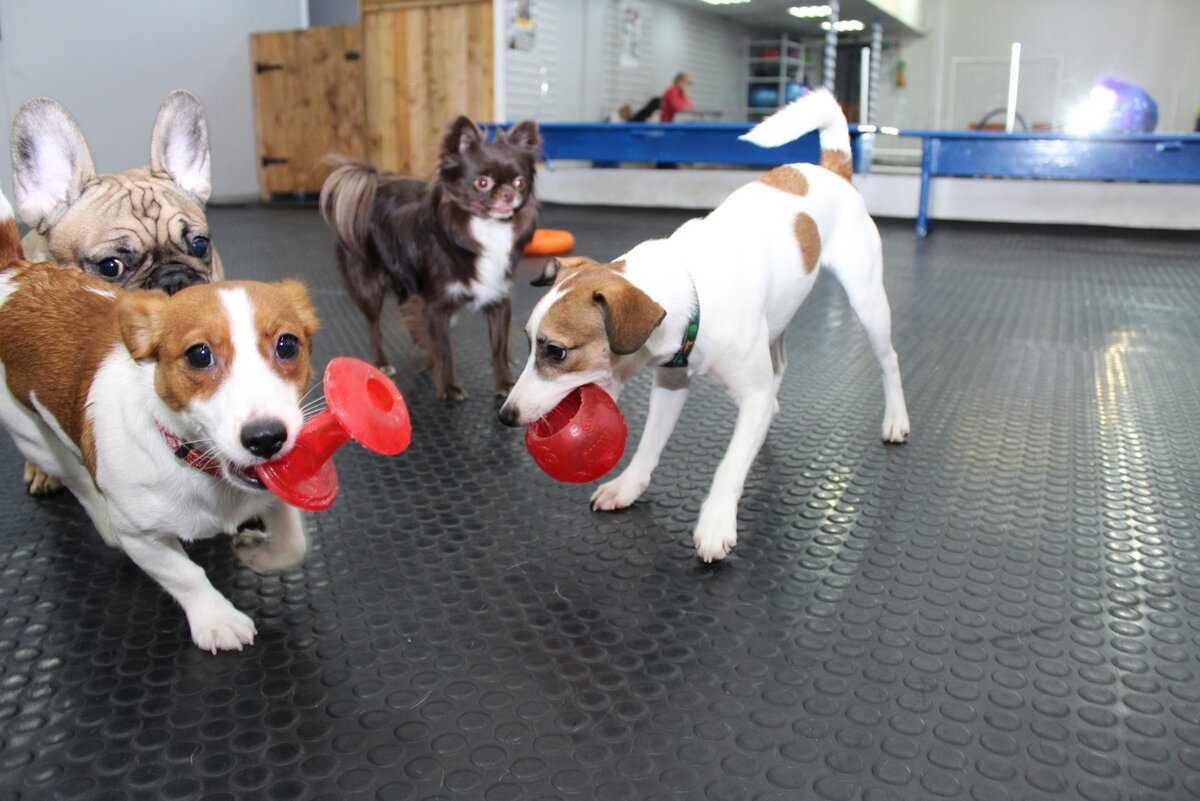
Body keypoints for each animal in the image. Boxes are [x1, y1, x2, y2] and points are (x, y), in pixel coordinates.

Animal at [0, 191, 321, 652]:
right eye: (199, 355)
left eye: (287, 344)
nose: (266, 439)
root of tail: (15, 275)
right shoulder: (143, 539)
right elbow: (186, 575)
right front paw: (216, 618)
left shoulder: (276, 494)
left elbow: (294, 545)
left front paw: (255, 555)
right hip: (36, 439)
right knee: (79, 482)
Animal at [499, 89, 907, 563]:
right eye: (529, 344)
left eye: (557, 351)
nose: (505, 416)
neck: (692, 288)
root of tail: (832, 168)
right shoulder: (670, 385)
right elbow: (649, 444)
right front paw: (629, 485)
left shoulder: (746, 392)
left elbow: (729, 466)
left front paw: (716, 522)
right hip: (780, 315)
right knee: (780, 363)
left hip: (867, 299)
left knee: (888, 360)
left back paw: (896, 419)